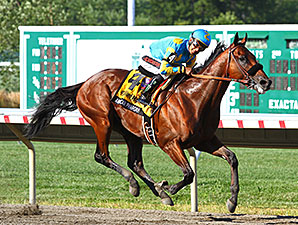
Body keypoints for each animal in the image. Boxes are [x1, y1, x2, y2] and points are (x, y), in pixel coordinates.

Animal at [25, 33, 270, 213]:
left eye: (252, 54)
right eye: (241, 57)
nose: (265, 81)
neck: (195, 98)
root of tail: (86, 82)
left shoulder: (204, 140)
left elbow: (232, 158)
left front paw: (232, 201)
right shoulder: (169, 143)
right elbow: (189, 173)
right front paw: (169, 186)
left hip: (131, 133)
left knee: (135, 163)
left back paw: (159, 194)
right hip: (101, 121)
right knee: (102, 156)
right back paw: (136, 185)